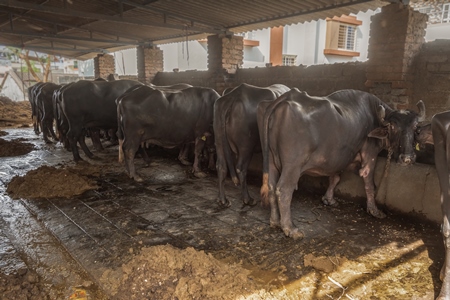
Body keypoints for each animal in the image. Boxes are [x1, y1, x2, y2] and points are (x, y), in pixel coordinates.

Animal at [256, 89, 426, 239]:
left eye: (415, 127)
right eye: (392, 126)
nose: (407, 158)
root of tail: (282, 99)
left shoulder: (338, 157)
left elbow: (335, 178)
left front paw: (328, 199)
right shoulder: (370, 155)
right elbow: (369, 184)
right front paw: (374, 210)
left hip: (269, 159)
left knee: (271, 186)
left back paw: (275, 221)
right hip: (292, 165)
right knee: (283, 190)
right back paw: (290, 228)